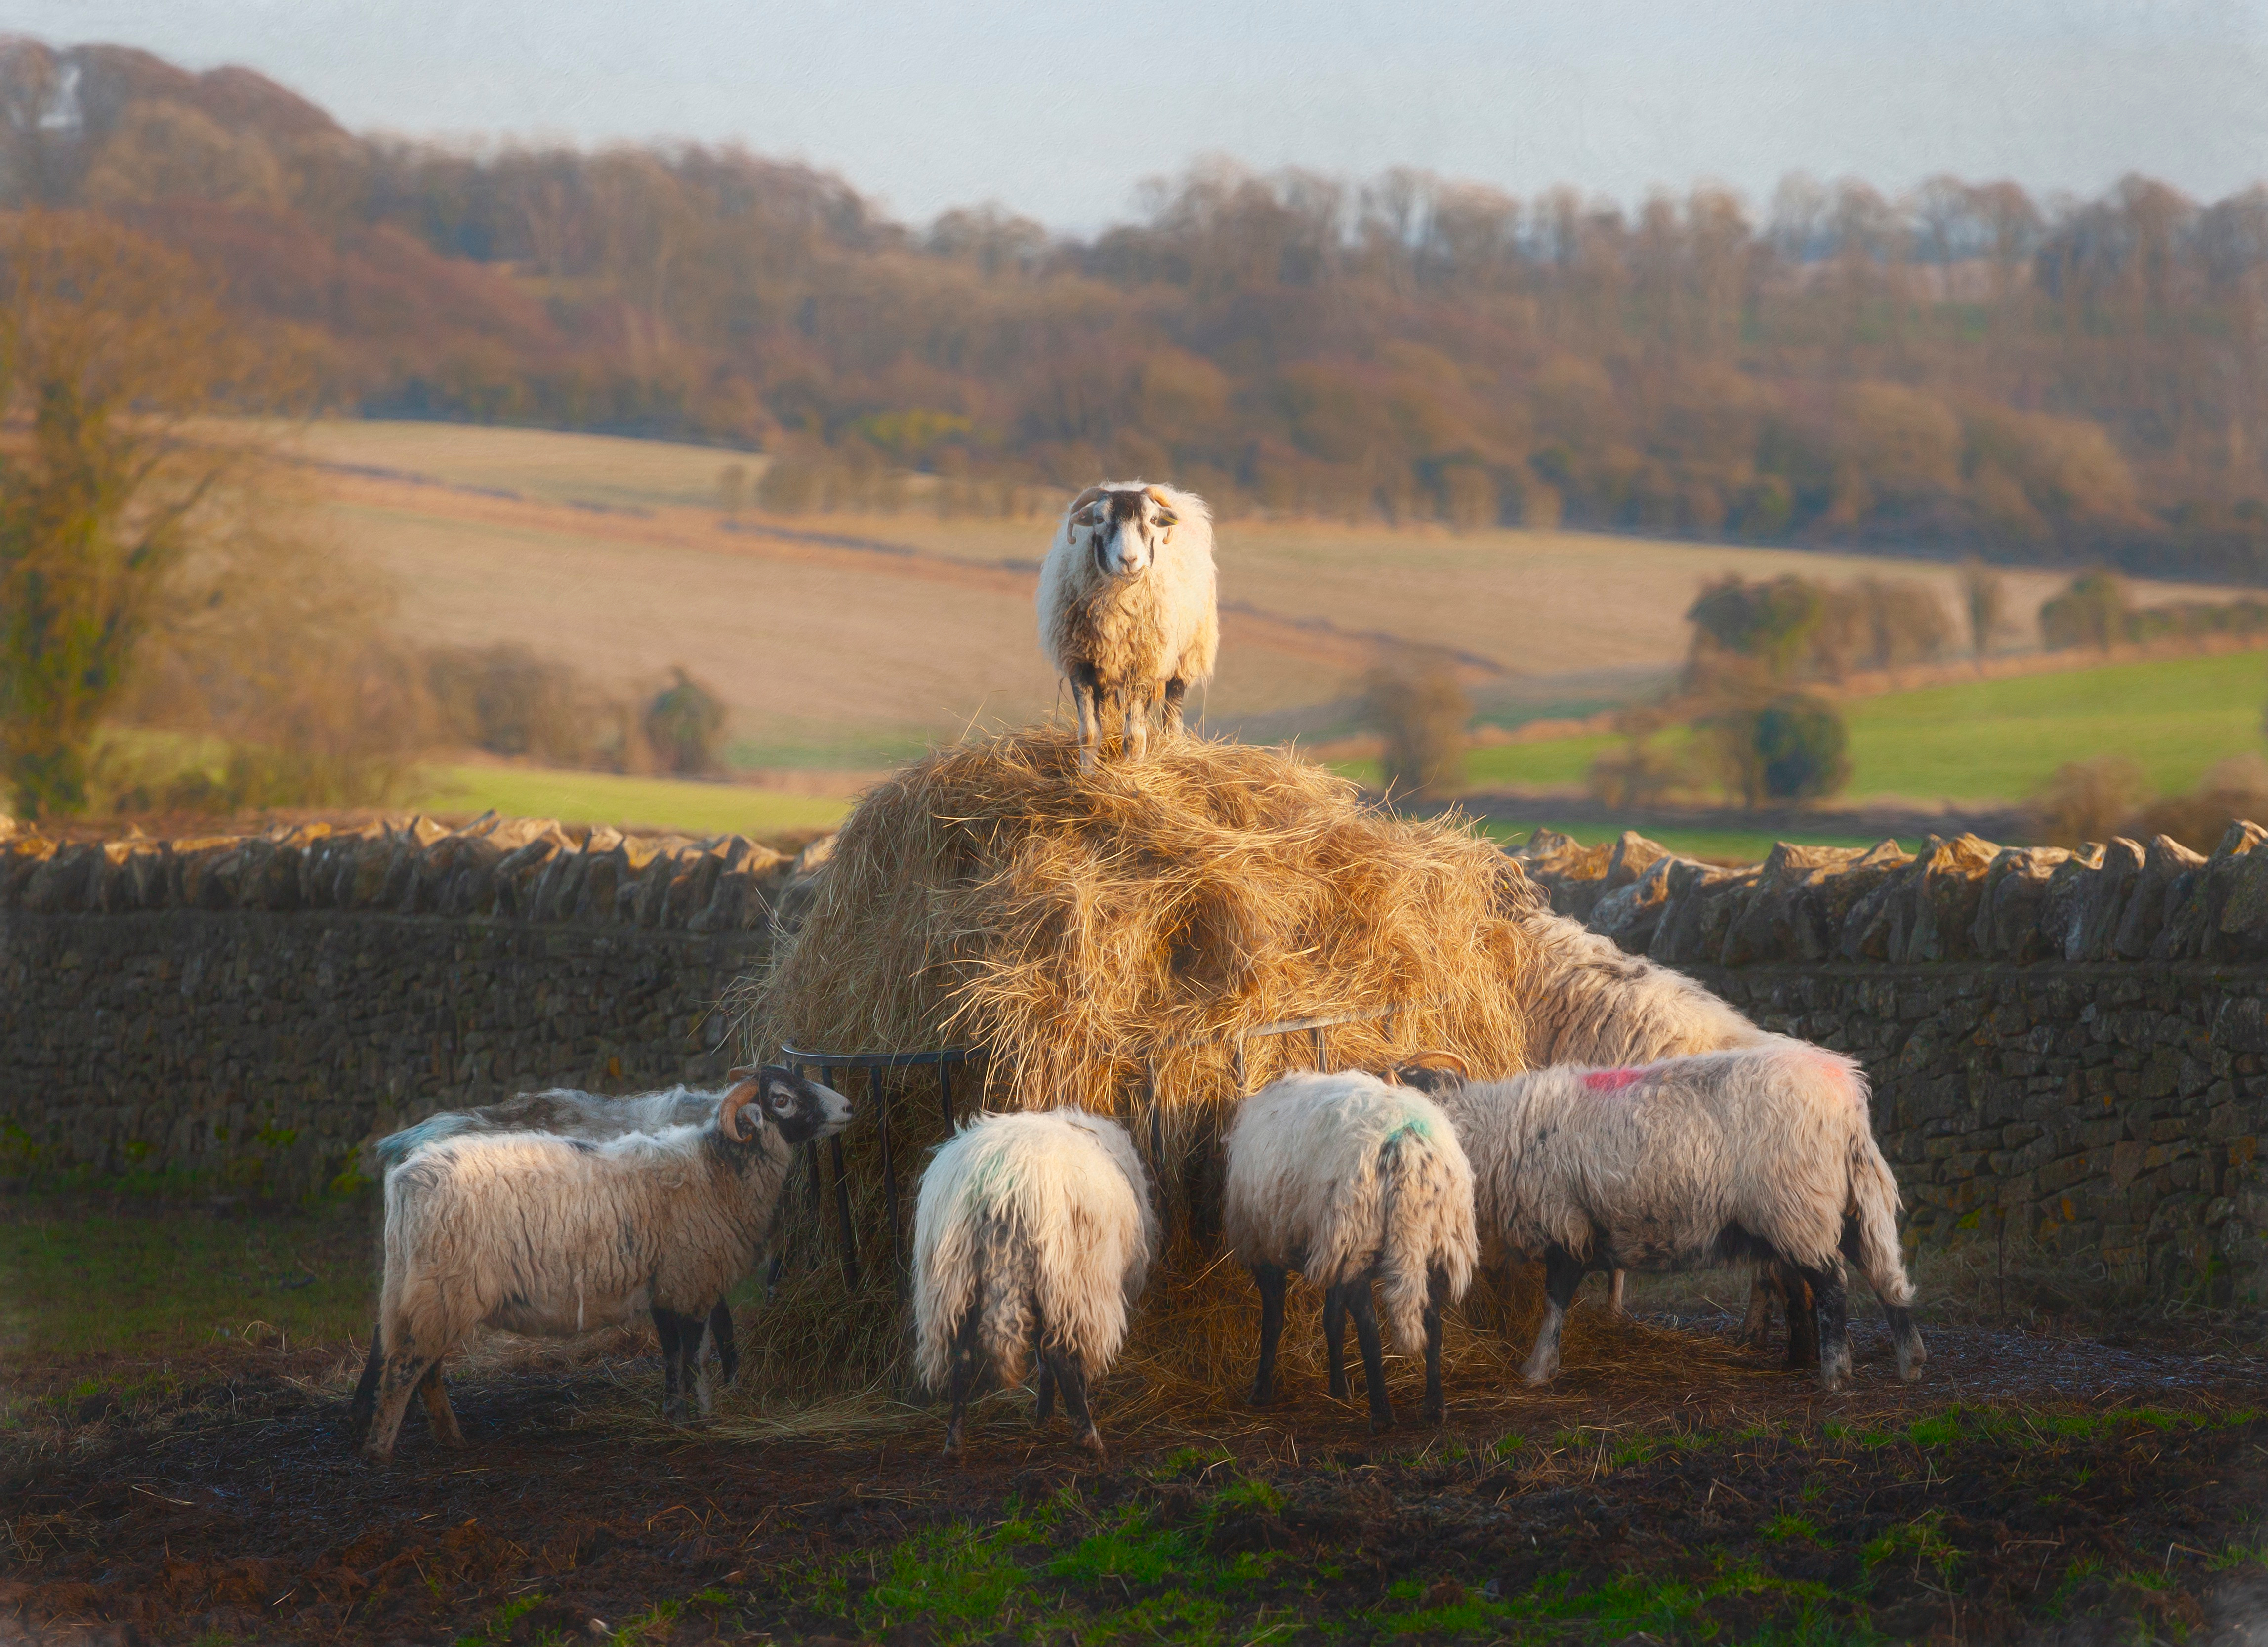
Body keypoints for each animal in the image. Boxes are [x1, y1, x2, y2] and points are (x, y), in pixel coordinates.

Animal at [912, 1108, 1158, 1460]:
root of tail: (1002, 1190)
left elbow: (1041, 1357)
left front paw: (1044, 1413)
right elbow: (1061, 1356)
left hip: (957, 1275)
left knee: (963, 1356)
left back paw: (954, 1443)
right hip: (1065, 1275)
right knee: (1061, 1353)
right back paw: (1088, 1437)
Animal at [1037, 481, 1219, 771]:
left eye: (1153, 520)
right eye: (1099, 519)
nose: (1129, 561)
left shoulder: (1144, 666)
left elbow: (1134, 736)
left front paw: (1133, 772)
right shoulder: (1080, 663)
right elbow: (1089, 734)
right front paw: (1088, 775)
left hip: (1187, 653)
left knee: (1172, 712)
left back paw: (1172, 747)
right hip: (1109, 666)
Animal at [1223, 1071, 1480, 1431]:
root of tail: (1406, 1147)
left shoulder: (1267, 1248)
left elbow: (1273, 1321)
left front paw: (1261, 1392)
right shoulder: (1334, 1252)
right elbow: (1332, 1319)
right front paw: (1339, 1388)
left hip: (1359, 1237)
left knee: (1369, 1330)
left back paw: (1382, 1414)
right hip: (1434, 1243)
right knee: (1432, 1324)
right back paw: (1434, 1406)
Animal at [1429, 1039, 1924, 1392]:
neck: (1499, 1132)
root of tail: (1845, 1093)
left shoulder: (1566, 1223)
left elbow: (1555, 1300)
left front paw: (1536, 1369)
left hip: (1798, 1205)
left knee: (1833, 1284)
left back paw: (1836, 1373)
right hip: (1848, 1200)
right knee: (1884, 1273)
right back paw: (1910, 1361)